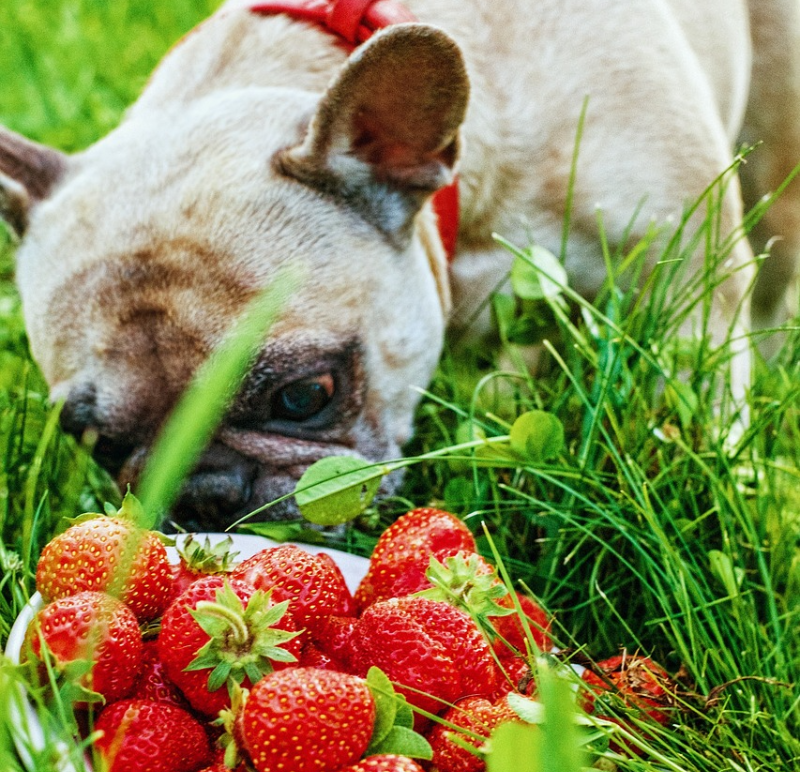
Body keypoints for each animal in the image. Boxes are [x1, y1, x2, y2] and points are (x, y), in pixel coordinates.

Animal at [1, 0, 800, 532]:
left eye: (303, 396)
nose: (203, 495)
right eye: (96, 442)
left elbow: (702, 401)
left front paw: (727, 492)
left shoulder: (688, 284)